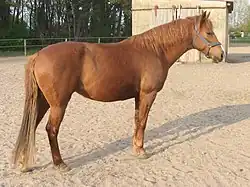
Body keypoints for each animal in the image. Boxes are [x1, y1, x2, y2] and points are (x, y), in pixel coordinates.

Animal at [11, 11, 224, 172]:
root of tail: (38, 55)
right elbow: (143, 122)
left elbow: (137, 120)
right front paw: (141, 151)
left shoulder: (139, 96)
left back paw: (24, 163)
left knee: (31, 126)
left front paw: (136, 147)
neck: (155, 50)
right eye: (209, 32)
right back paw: (60, 163)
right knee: (51, 129)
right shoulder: (148, 94)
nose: (220, 55)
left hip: (42, 101)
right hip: (58, 104)